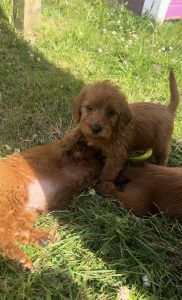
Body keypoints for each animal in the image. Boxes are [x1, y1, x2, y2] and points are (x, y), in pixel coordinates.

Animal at [0, 127, 102, 270]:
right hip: (14, 195)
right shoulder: (68, 152)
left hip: (26, 211)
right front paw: (79, 133)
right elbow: (71, 141)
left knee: (16, 229)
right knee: (4, 230)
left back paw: (44, 240)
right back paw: (21, 258)